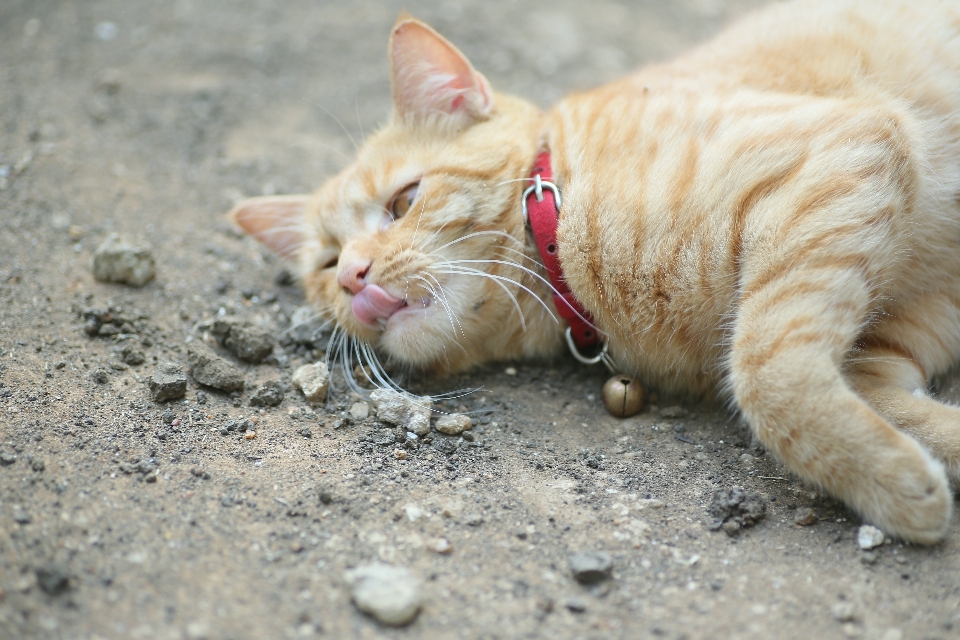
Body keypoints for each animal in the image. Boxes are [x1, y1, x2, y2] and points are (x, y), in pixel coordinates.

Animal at [229, 1, 960, 544]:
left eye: (404, 201)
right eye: (327, 264)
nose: (353, 276)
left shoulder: (844, 154)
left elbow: (766, 376)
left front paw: (897, 487)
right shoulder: (908, 324)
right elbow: (864, 389)